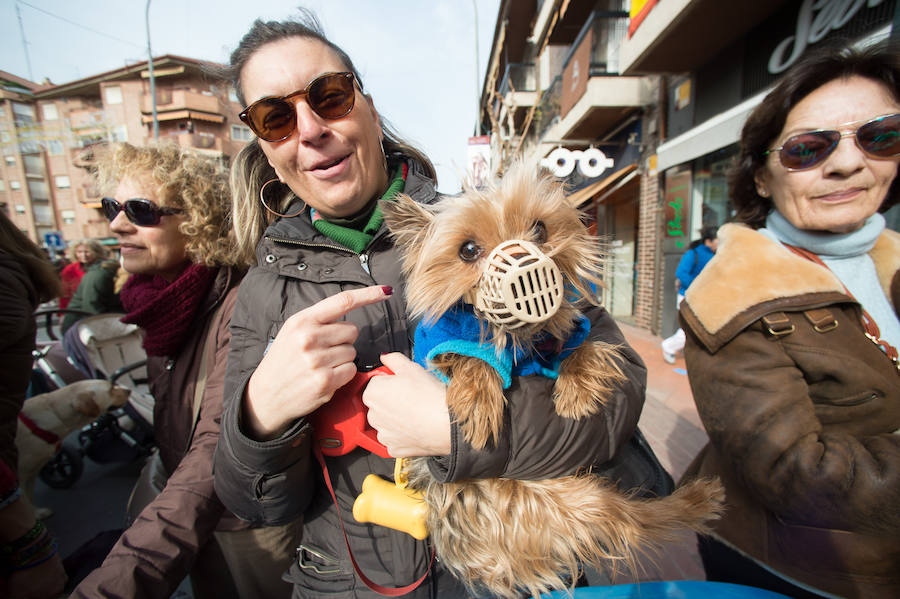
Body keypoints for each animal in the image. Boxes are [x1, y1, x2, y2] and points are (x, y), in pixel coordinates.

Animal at [17, 382, 130, 516]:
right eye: (110, 389)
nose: (129, 390)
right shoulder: (20, 477)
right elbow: (25, 503)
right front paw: (36, 514)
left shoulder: (32, 472)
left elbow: (29, 497)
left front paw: (38, 512)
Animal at [380, 163, 724, 599]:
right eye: (468, 250)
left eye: (539, 229)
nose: (527, 264)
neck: (522, 340)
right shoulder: (442, 341)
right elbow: (468, 356)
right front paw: (477, 401)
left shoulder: (572, 331)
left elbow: (588, 343)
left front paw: (576, 391)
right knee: (630, 524)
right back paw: (700, 499)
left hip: (576, 498)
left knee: (630, 520)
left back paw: (699, 498)